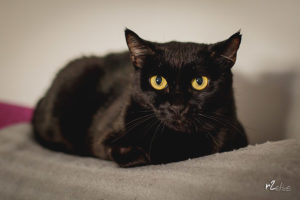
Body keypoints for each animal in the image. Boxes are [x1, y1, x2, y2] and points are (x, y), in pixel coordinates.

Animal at [32, 28, 248, 167]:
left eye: (199, 81)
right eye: (158, 81)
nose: (177, 107)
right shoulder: (102, 138)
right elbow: (123, 152)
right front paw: (144, 155)